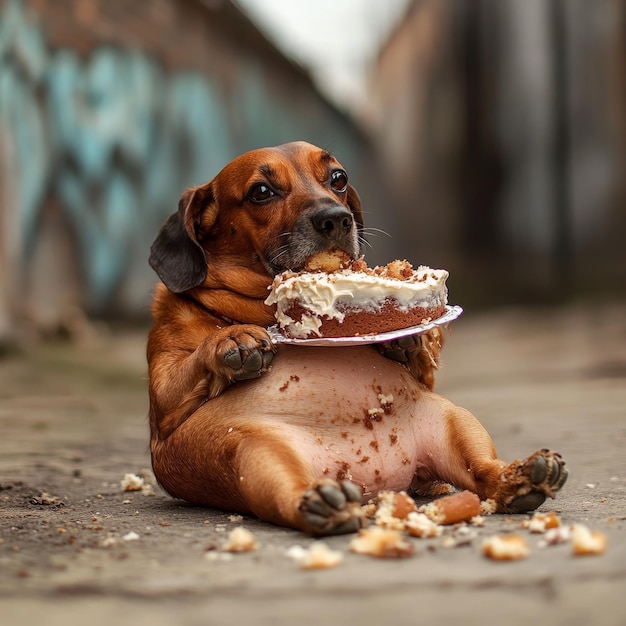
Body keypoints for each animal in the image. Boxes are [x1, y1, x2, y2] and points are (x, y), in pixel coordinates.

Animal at [147, 140, 564, 532]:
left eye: (338, 178)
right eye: (261, 191)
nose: (336, 219)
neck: (258, 312)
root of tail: (376, 480)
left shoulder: (429, 384)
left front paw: (404, 341)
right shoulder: (164, 409)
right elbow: (190, 365)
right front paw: (229, 340)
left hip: (455, 421)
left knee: (482, 471)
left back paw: (518, 478)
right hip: (255, 454)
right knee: (290, 496)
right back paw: (323, 504)